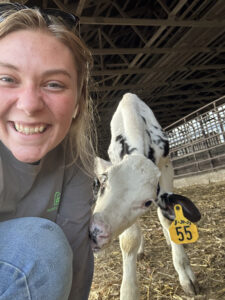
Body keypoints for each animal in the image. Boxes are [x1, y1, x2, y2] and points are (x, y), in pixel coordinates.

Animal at [89, 93, 200, 300]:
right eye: (104, 181)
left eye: (147, 202)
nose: (95, 233)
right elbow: (129, 239)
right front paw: (129, 290)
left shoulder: (166, 167)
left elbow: (167, 218)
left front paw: (185, 273)